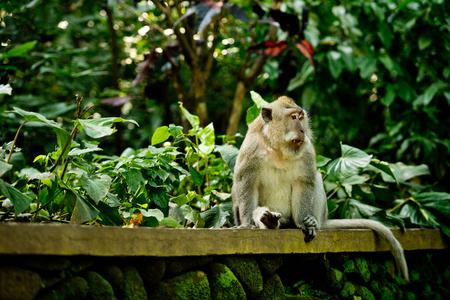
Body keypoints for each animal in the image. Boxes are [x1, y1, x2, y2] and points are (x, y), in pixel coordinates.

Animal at [230, 95, 410, 282]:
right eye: (293, 117)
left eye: (301, 117)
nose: (302, 130)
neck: (278, 147)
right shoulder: (251, 148)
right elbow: (245, 183)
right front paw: (247, 224)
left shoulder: (307, 149)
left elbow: (305, 182)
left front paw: (304, 223)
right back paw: (268, 220)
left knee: (315, 178)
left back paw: (310, 222)